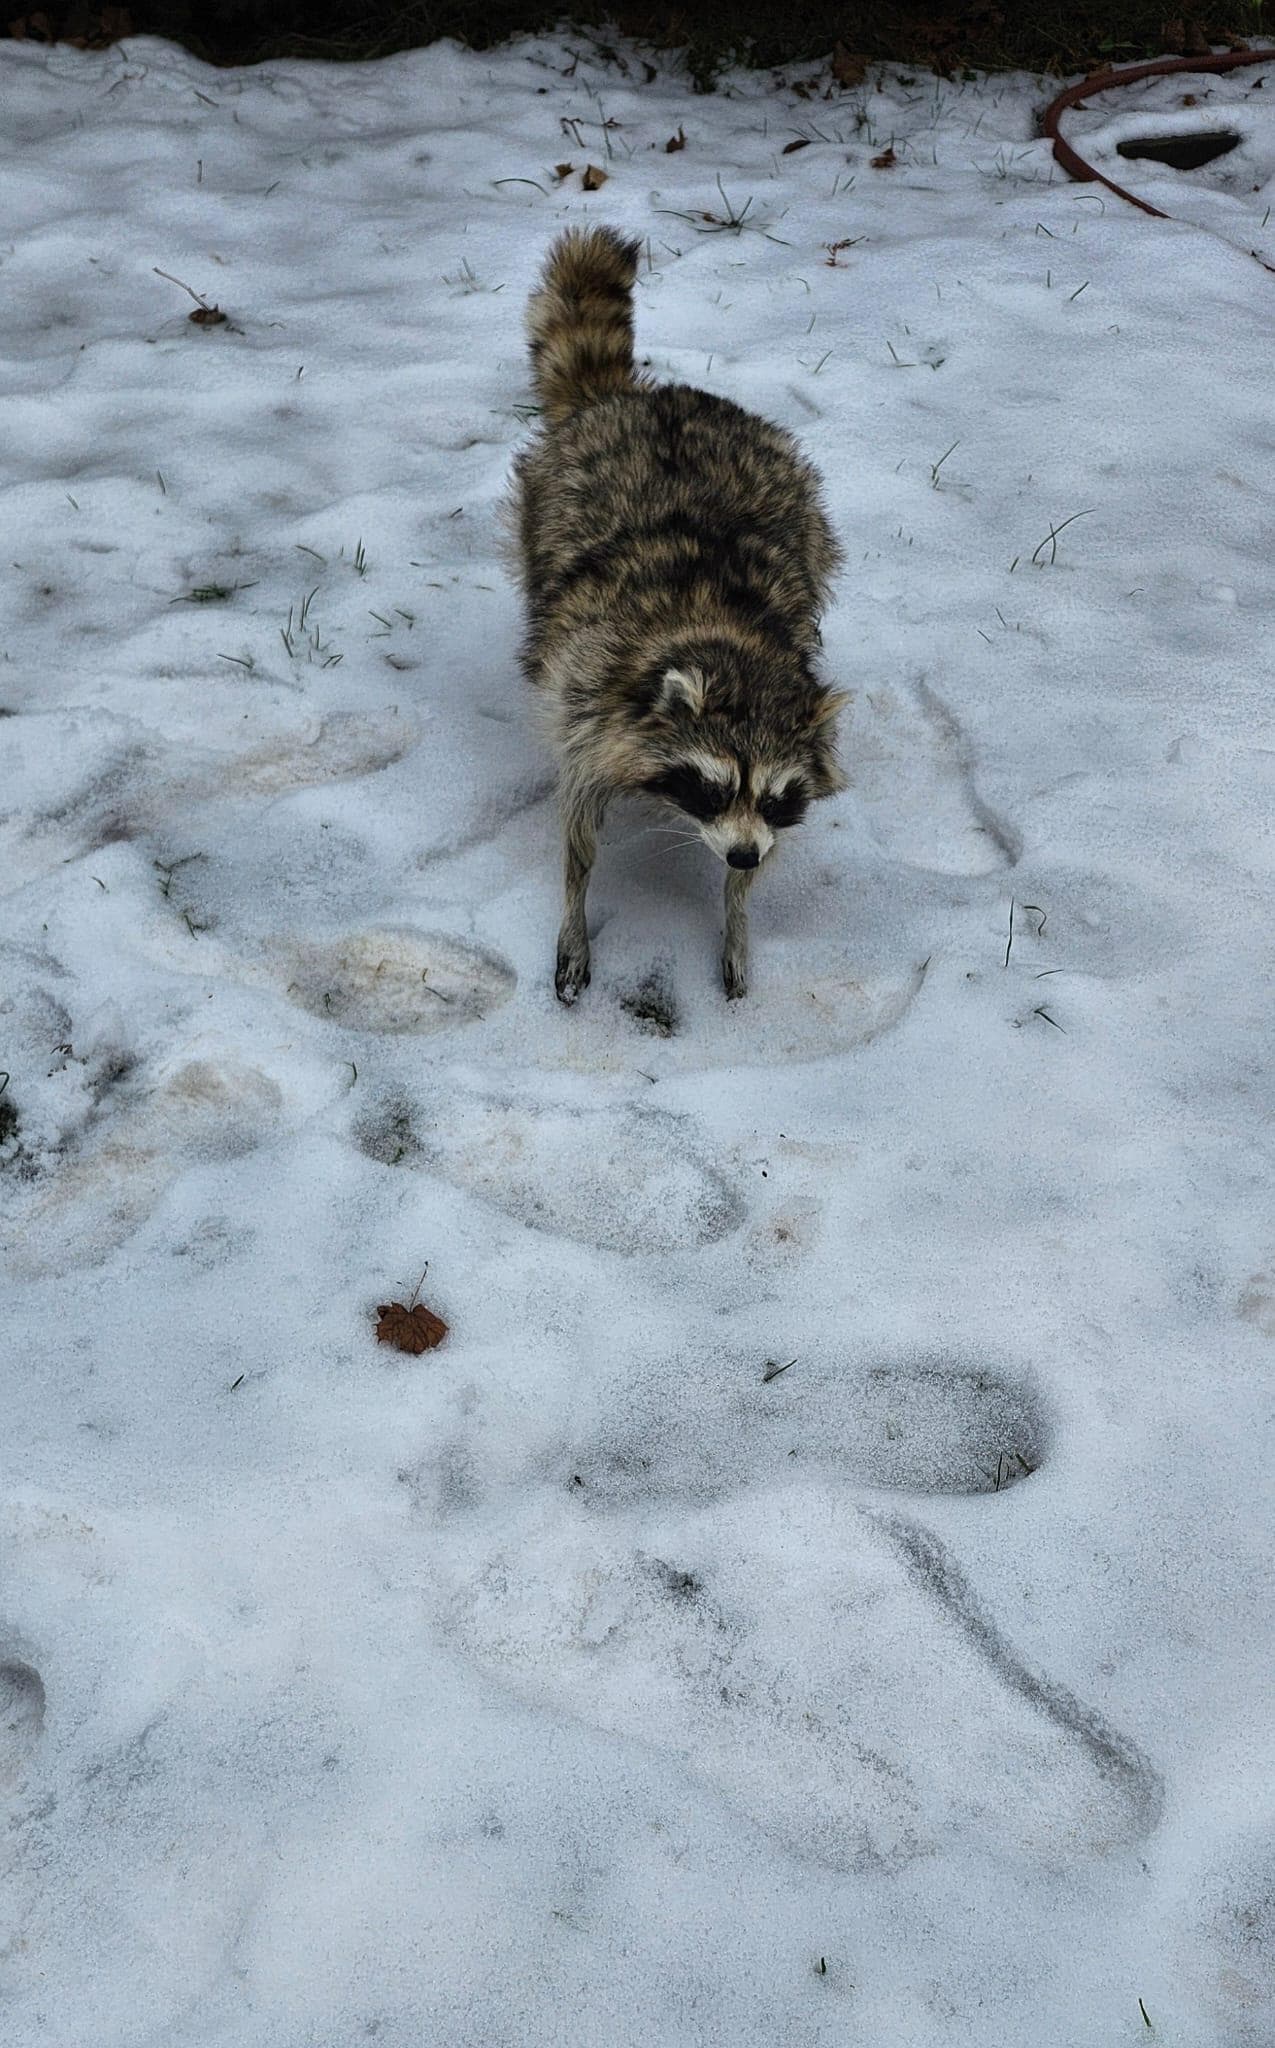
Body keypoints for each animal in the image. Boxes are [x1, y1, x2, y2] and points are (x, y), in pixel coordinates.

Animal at [513, 224, 847, 1003]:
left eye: (778, 797)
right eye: (713, 786)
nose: (745, 856)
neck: (726, 639)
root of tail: (636, 399)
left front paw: (737, 919)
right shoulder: (589, 701)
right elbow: (578, 837)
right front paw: (574, 918)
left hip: (804, 501)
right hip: (540, 509)